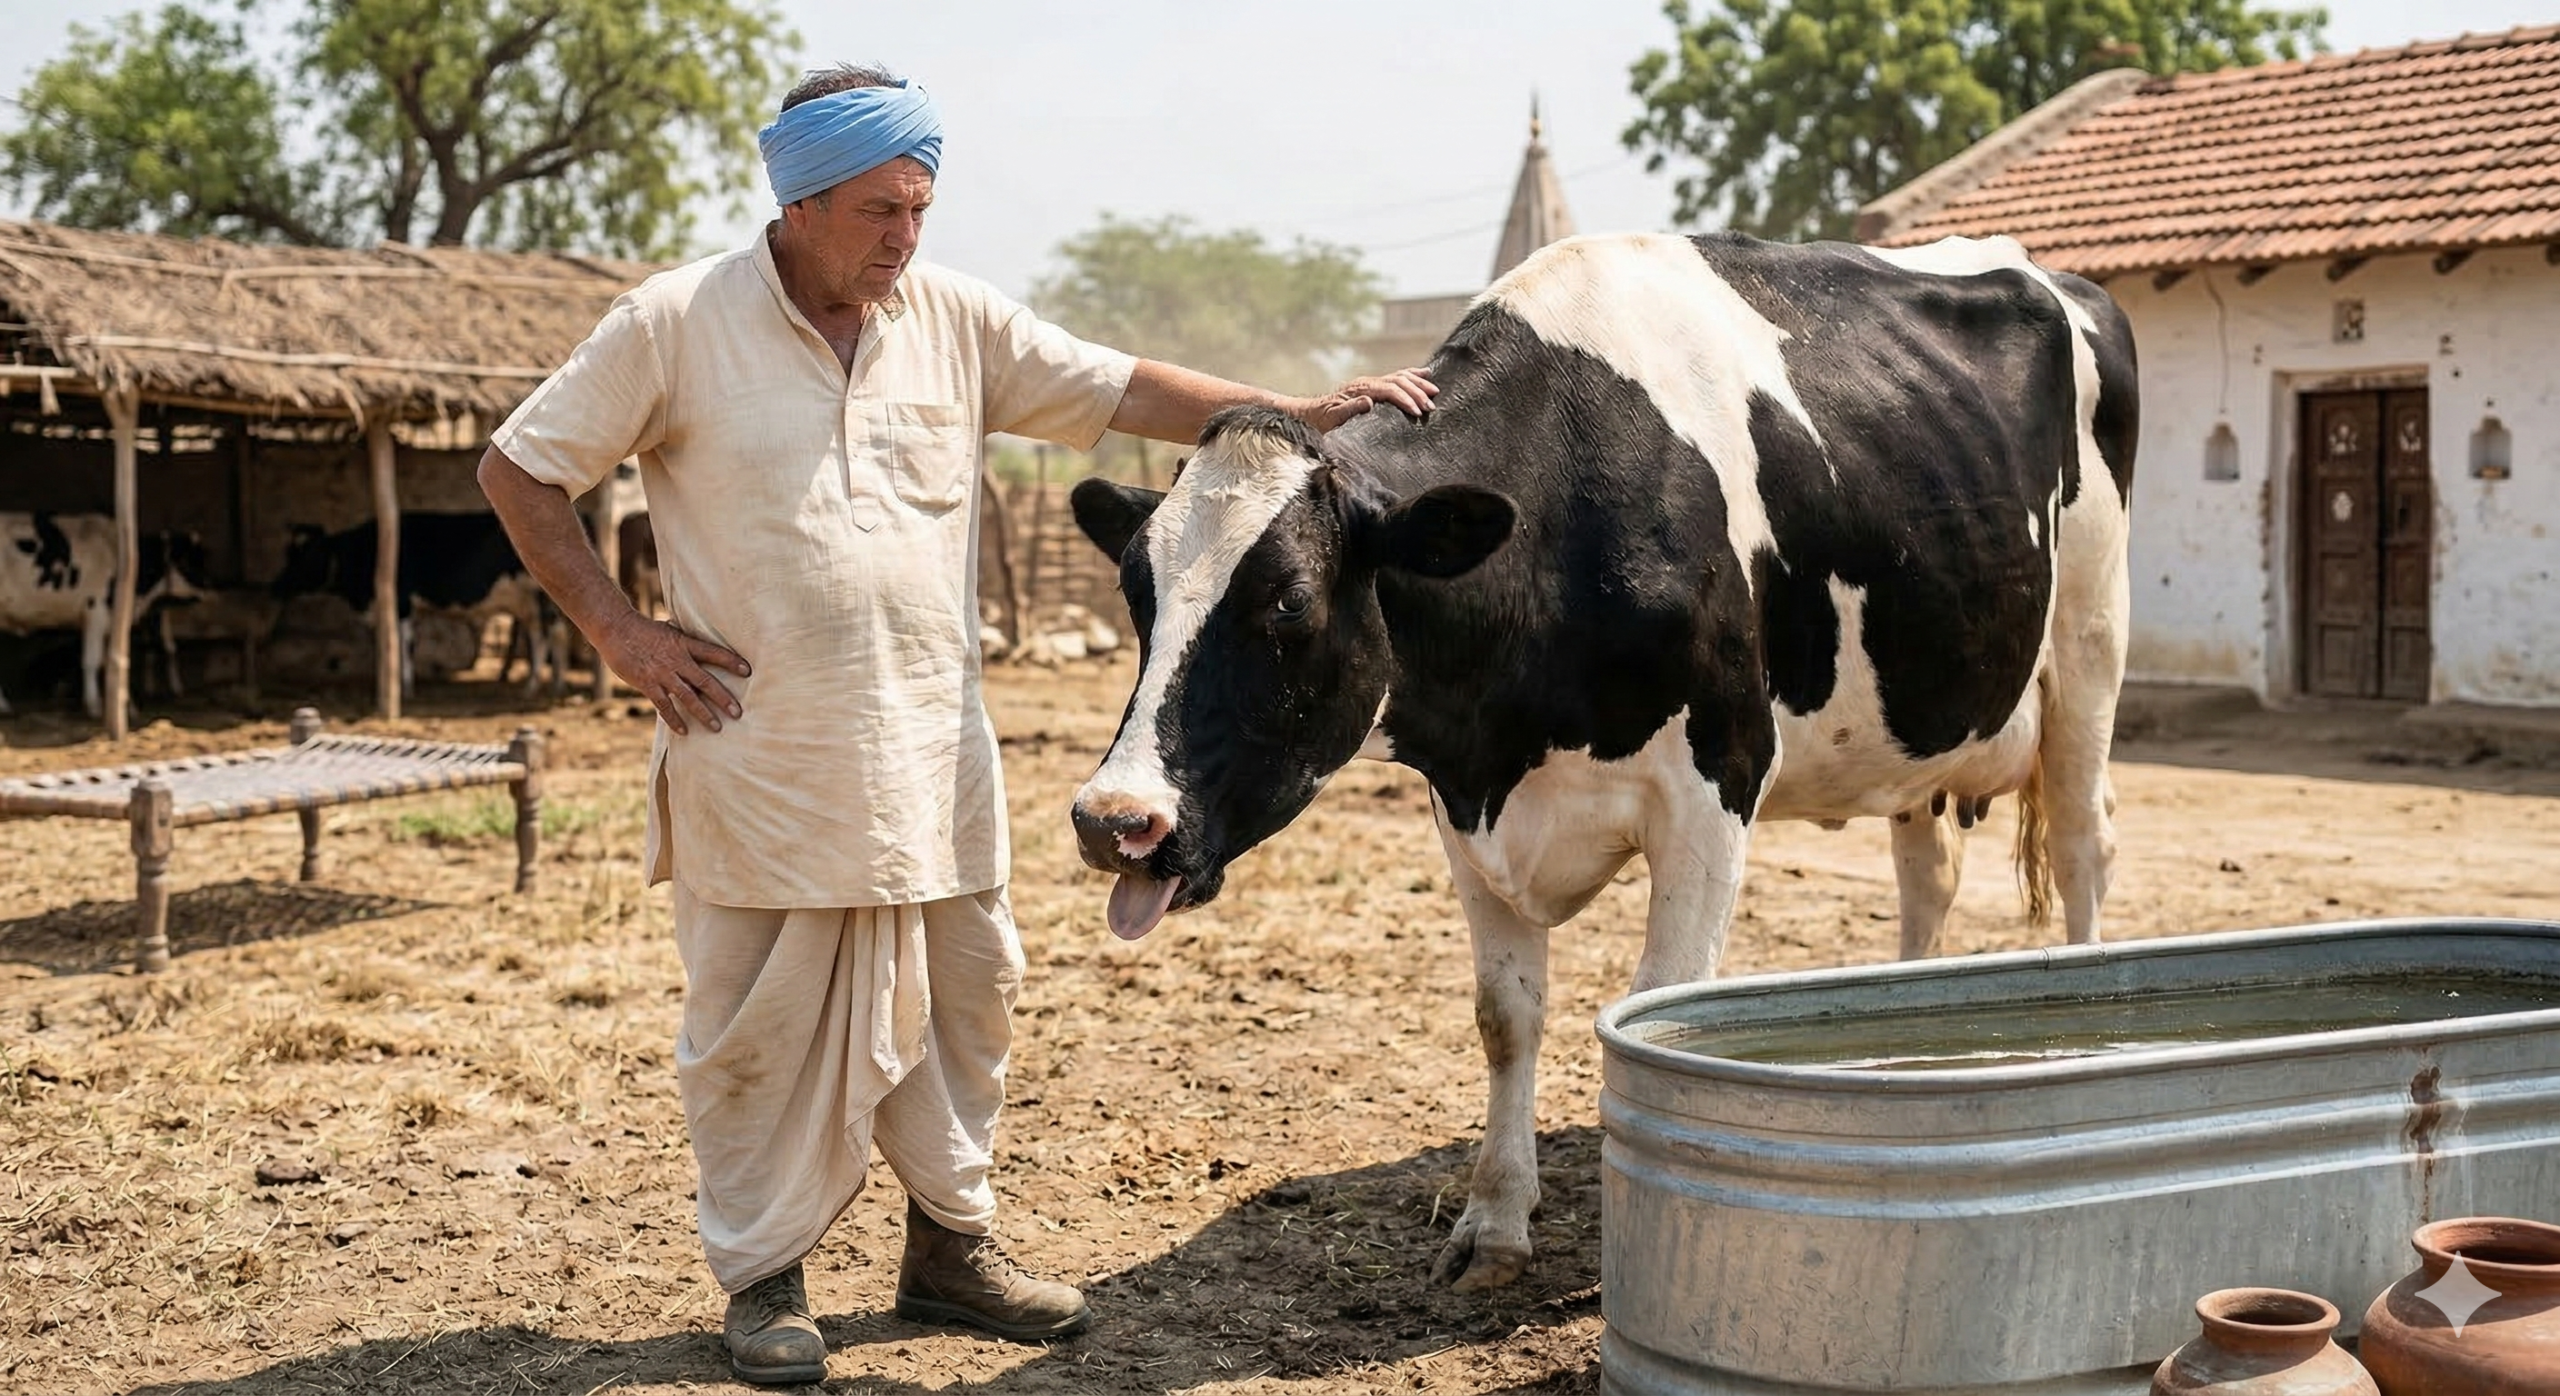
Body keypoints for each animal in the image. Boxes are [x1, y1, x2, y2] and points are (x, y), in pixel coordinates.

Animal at [0, 512, 208, 717]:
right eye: (187, 562)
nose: (210, 586)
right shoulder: (96, 611)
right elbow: (92, 661)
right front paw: (94, 705)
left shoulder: (112, 622)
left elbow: (113, 661)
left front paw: (125, 706)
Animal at [270, 512, 553, 697]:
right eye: (288, 553)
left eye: (308, 554)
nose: (275, 586)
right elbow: (394, 645)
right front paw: (390, 680)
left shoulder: (402, 602)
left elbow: (402, 645)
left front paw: (404, 687)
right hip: (524, 603)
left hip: (536, 598)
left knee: (542, 637)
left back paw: (533, 686)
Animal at [1065, 231, 2137, 1292]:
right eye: (1136, 591)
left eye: (1288, 601)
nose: (1114, 819)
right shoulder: (1463, 801)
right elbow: (1506, 1015)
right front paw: (1495, 1222)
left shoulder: (1717, 784)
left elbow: (1656, 1003)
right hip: (1919, 715)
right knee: (1929, 876)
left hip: (2090, 641)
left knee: (2084, 847)